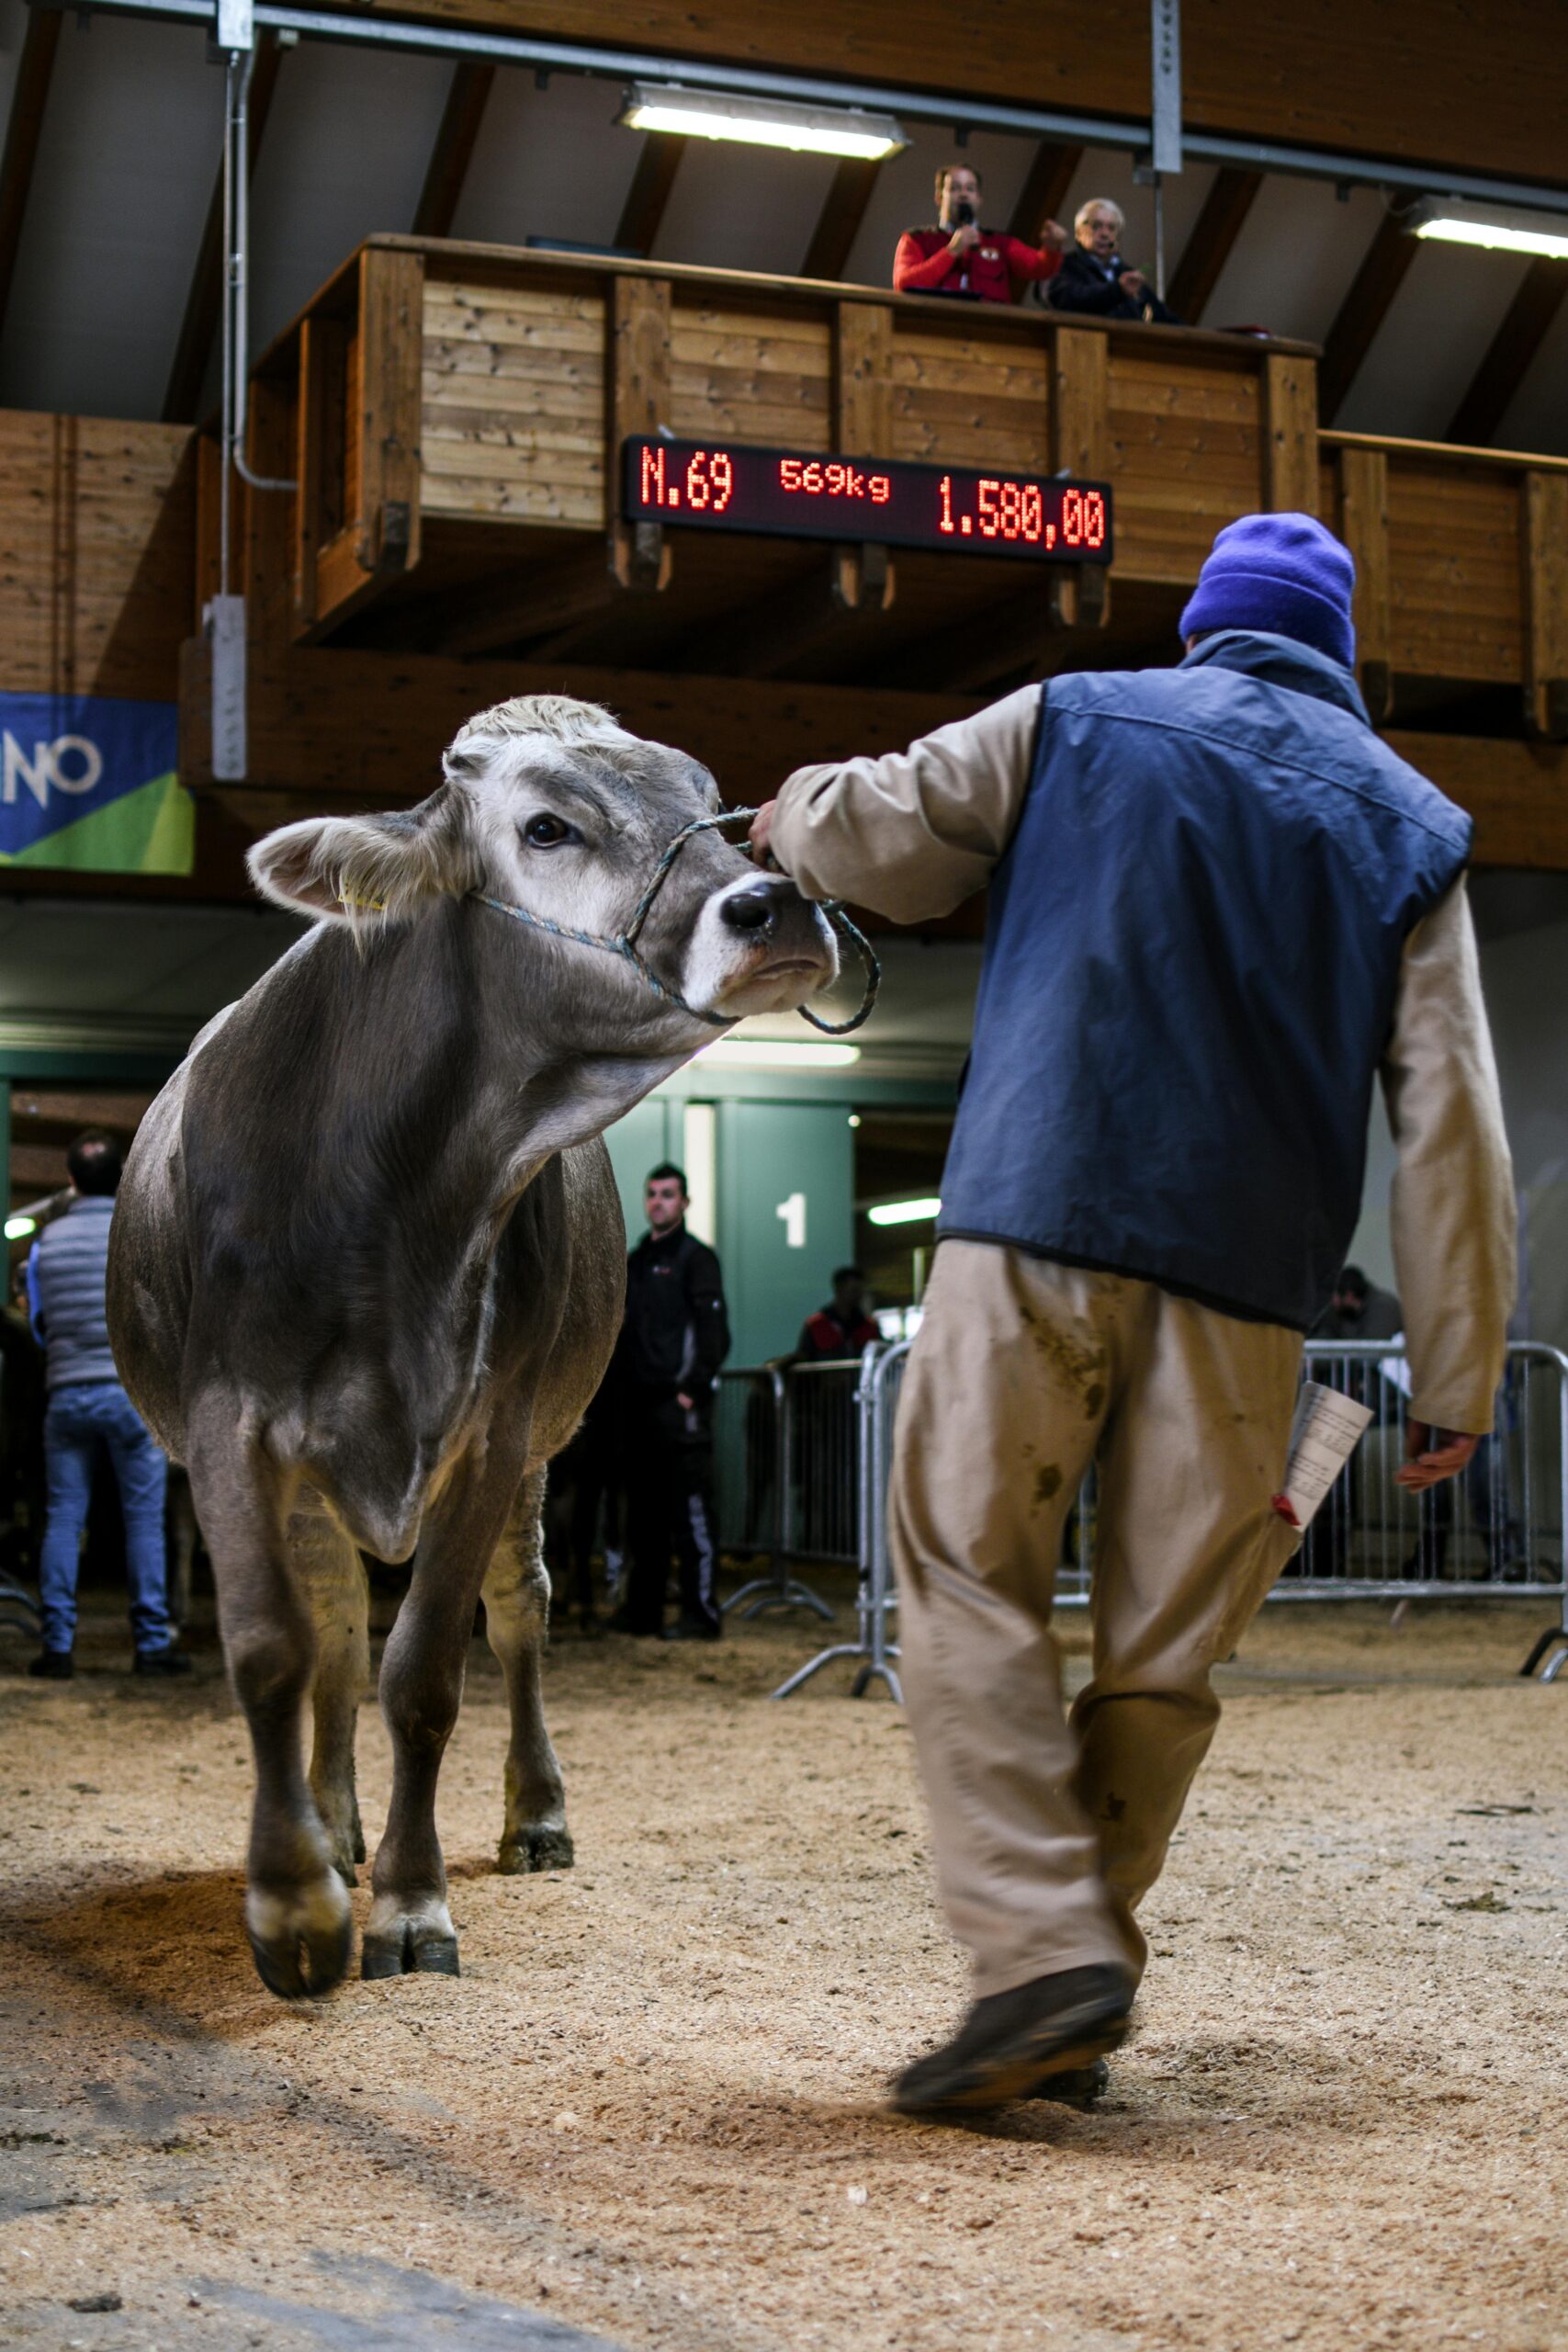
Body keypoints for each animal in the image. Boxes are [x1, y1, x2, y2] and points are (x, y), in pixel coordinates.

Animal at [107, 695, 837, 2000]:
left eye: (711, 799)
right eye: (545, 825)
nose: (776, 904)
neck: (387, 1201)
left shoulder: (491, 1432)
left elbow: (429, 1673)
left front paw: (407, 1903)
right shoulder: (230, 1424)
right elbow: (272, 1650)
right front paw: (294, 1902)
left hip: (540, 1456)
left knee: (518, 1610)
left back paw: (530, 1813)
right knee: (335, 1630)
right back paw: (333, 1822)